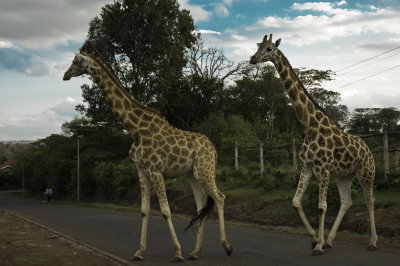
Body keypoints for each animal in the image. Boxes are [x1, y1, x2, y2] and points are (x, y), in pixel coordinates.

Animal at [62, 50, 231, 260]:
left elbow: (165, 210)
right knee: (201, 206)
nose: (65, 75)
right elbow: (144, 210)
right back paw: (195, 252)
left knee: (220, 198)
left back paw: (226, 246)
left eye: (75, 61)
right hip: (192, 174)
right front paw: (139, 251)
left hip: (204, 170)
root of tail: (214, 149)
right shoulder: (141, 170)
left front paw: (177, 252)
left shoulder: (155, 169)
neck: (135, 128)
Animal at [250, 33, 378, 256]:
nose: (253, 59)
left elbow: (321, 207)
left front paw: (318, 246)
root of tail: (369, 150)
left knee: (370, 201)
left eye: (269, 49)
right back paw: (330, 241)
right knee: (347, 201)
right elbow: (295, 202)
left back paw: (372, 242)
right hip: (344, 176)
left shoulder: (323, 169)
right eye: (258, 46)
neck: (309, 128)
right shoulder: (308, 167)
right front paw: (315, 240)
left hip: (365, 173)